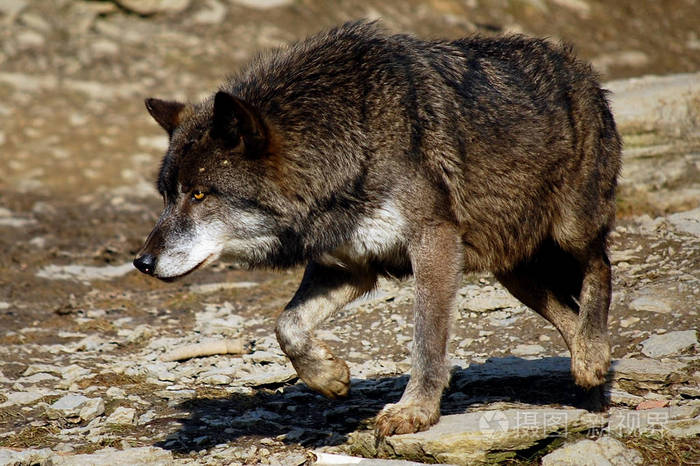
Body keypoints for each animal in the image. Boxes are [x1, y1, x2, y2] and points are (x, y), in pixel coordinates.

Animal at [134, 21, 620, 436]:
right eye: (167, 195)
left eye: (200, 194)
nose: (142, 262)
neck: (350, 142)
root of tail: (582, 70)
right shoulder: (350, 267)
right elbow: (286, 325)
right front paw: (327, 376)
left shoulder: (434, 244)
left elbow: (427, 340)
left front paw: (414, 410)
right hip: (512, 273)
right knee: (568, 312)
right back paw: (588, 370)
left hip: (569, 231)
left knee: (601, 267)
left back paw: (593, 354)